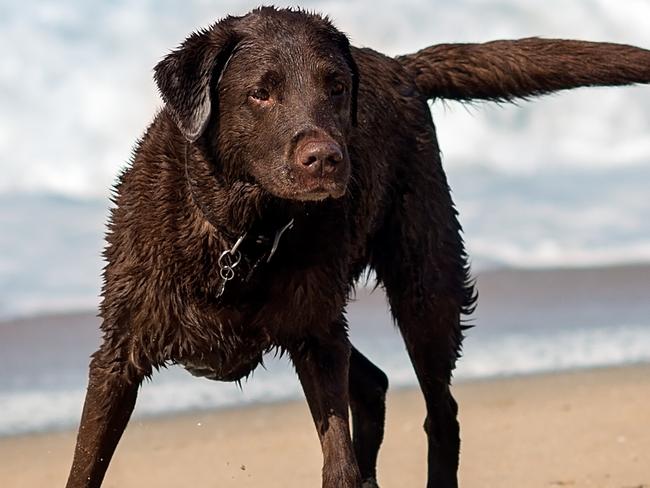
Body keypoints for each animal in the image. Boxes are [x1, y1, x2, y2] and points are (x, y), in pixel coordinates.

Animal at [66, 7, 648, 488]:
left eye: (337, 88)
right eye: (261, 92)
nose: (326, 158)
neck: (242, 234)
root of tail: (400, 66)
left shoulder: (320, 346)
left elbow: (338, 460)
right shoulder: (117, 356)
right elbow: (86, 465)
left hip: (425, 288)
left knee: (442, 412)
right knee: (373, 383)